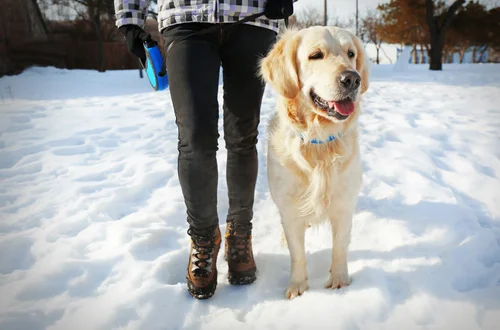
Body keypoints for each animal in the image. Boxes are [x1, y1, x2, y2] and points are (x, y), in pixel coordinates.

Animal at [260, 25, 370, 300]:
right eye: (316, 55)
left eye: (351, 53)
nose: (352, 79)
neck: (319, 143)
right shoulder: (289, 209)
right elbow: (297, 253)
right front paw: (297, 286)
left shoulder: (343, 205)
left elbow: (339, 247)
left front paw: (340, 280)